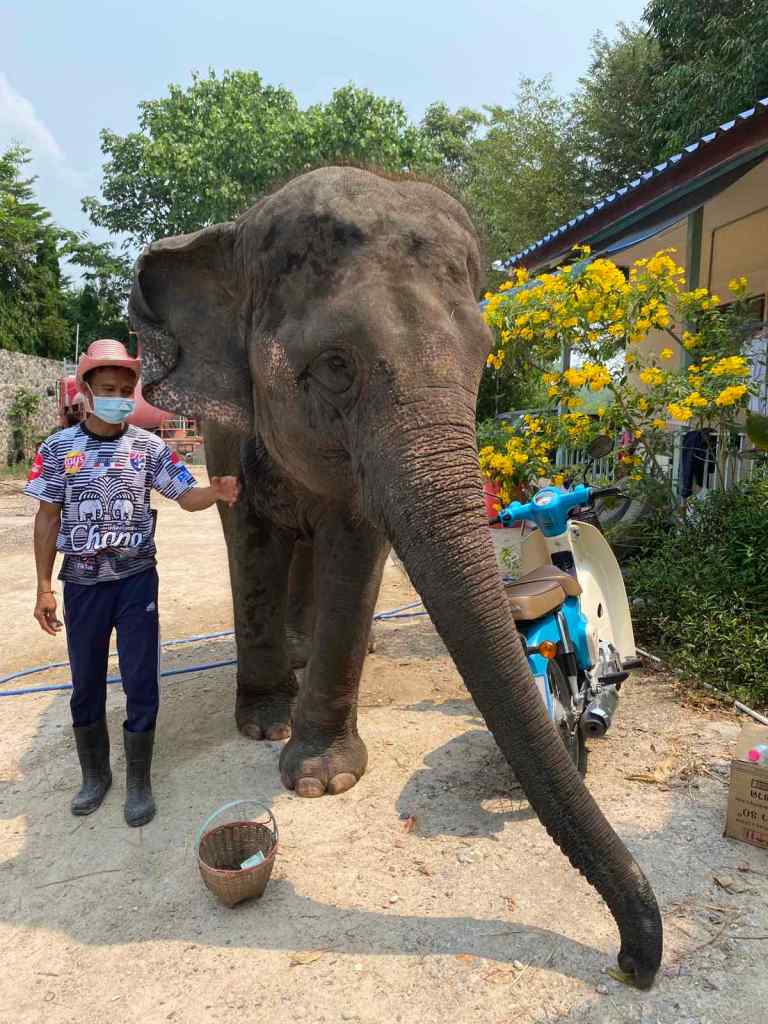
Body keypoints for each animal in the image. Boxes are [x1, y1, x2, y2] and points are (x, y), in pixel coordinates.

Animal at [129, 166, 663, 987]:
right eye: (335, 365)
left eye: (483, 357)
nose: (633, 961)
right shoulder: (223, 435)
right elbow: (247, 540)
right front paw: (264, 726)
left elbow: (354, 551)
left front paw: (321, 778)